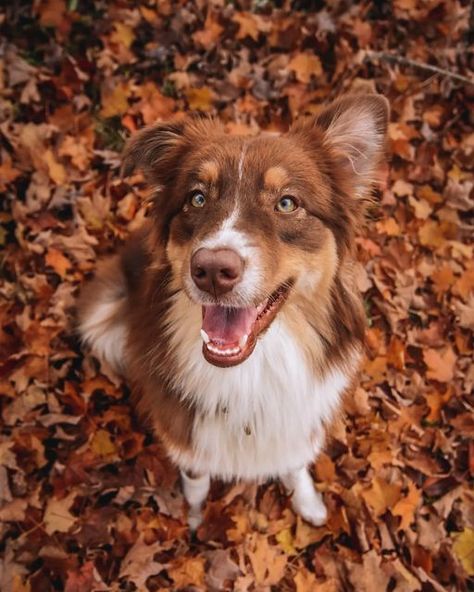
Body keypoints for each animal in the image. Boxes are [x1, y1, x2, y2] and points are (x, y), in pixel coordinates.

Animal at [78, 95, 388, 528]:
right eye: (197, 198)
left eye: (287, 203)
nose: (211, 271)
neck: (249, 376)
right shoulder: (186, 439)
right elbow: (196, 481)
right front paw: (193, 517)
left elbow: (295, 465)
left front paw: (308, 503)